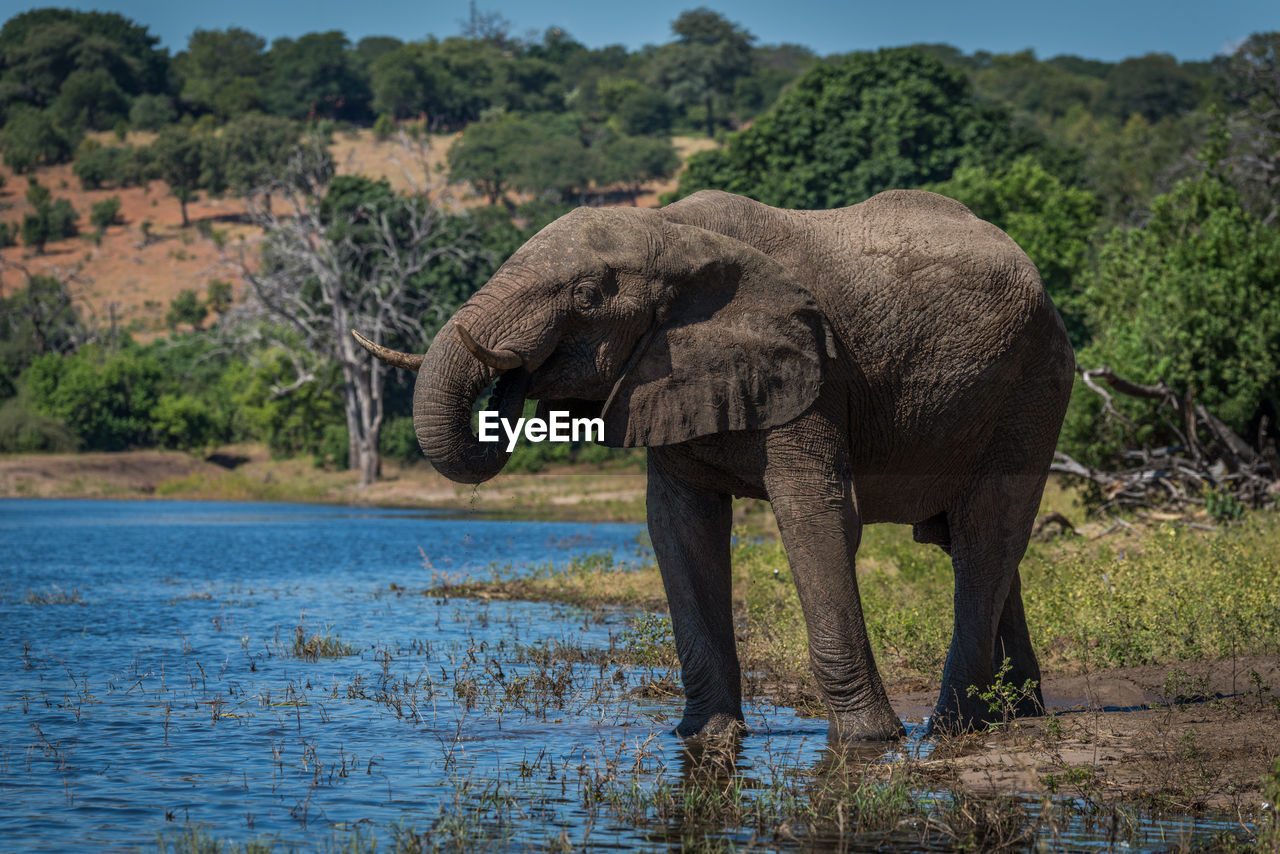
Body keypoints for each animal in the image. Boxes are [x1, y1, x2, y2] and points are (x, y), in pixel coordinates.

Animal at [355, 188, 1075, 742]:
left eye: (587, 295)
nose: (516, 371)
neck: (670, 233)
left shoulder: (813, 366)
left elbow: (817, 515)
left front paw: (870, 741)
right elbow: (680, 525)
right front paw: (704, 738)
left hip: (1033, 384)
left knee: (987, 533)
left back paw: (954, 727)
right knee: (968, 541)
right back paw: (1019, 712)